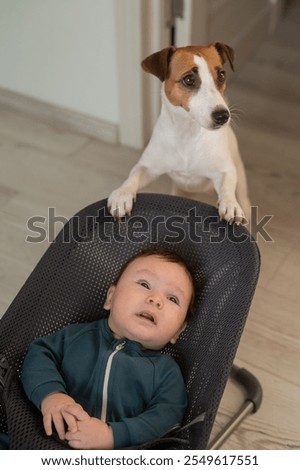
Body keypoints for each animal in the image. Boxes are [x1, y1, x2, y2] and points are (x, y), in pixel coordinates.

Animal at [108, 41, 251, 224]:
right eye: (189, 79)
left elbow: (226, 187)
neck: (188, 134)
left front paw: (229, 203)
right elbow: (133, 176)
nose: (223, 116)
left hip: (242, 188)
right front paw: (122, 194)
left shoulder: (225, 171)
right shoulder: (148, 167)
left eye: (221, 75)